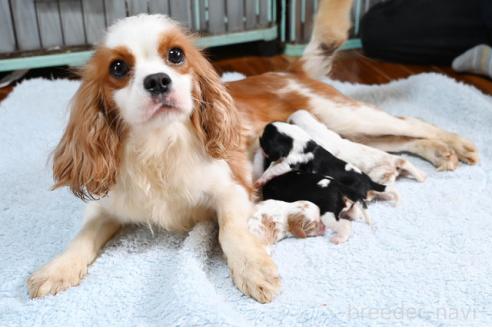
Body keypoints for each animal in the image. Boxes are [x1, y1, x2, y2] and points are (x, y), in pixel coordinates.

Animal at [256, 121, 398, 204]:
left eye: (263, 140)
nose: (258, 139)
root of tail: (369, 181)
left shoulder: (289, 163)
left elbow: (274, 169)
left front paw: (261, 180)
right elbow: (272, 167)